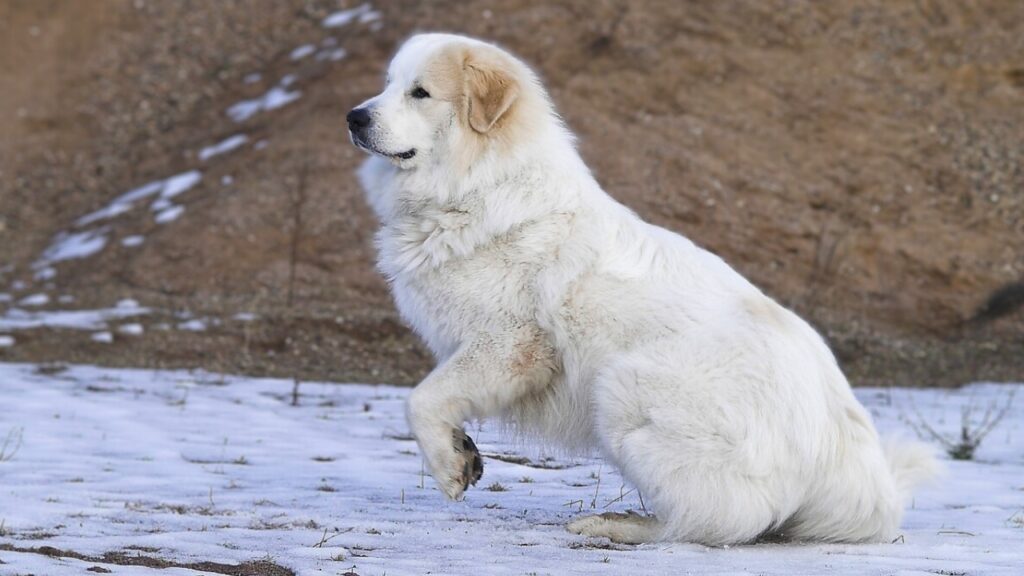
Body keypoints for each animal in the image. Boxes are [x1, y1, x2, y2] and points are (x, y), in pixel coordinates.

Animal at [348, 31, 937, 541]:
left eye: (420, 92)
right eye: (387, 83)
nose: (354, 116)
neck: (479, 187)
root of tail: (852, 463)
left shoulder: (510, 345)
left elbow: (421, 398)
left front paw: (449, 467)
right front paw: (462, 451)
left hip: (620, 388)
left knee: (720, 521)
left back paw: (619, 525)